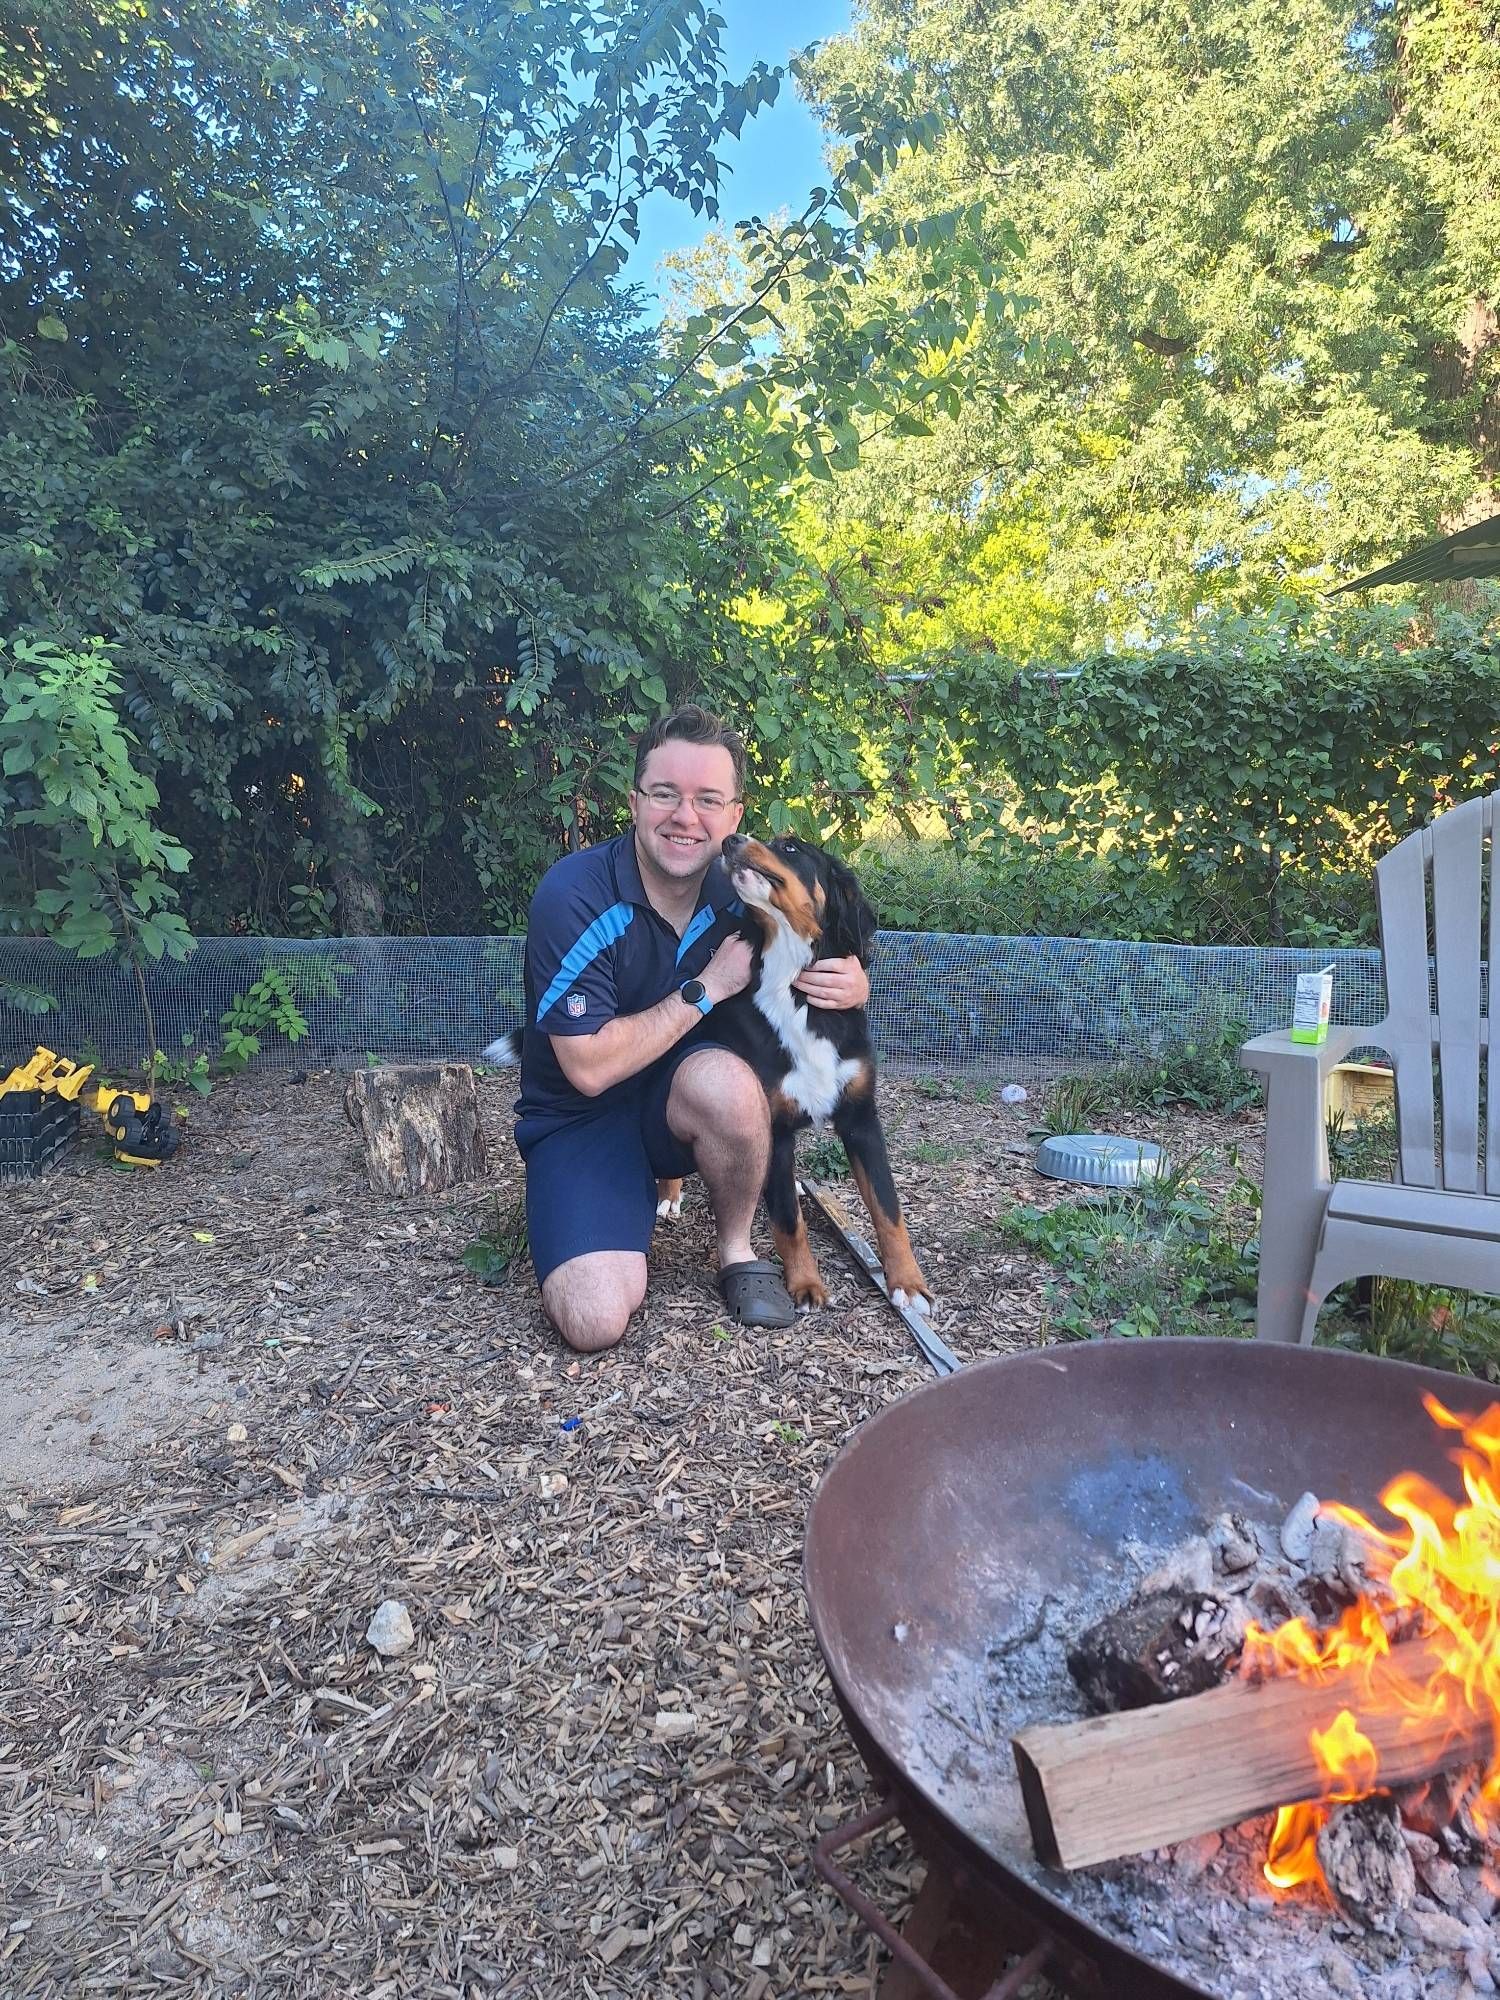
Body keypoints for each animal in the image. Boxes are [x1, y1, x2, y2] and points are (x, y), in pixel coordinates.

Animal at [664, 836, 936, 1320]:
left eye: (790, 847)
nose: (731, 840)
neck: (791, 983)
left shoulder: (861, 1118)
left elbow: (888, 1207)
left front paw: (907, 1283)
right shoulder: (775, 1125)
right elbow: (790, 1220)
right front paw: (806, 1285)